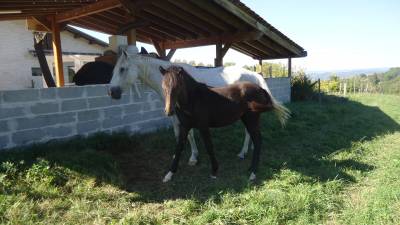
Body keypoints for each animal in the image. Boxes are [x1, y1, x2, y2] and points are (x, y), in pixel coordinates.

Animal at [108, 45, 290, 165]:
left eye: (122, 69)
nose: (112, 92)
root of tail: (255, 75)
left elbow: (189, 135)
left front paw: (193, 157)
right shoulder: (175, 116)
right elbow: (178, 135)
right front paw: (179, 155)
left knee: (247, 131)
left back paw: (242, 153)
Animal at [159, 66, 288, 182]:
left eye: (178, 86)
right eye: (163, 86)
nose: (169, 111)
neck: (193, 99)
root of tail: (260, 89)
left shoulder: (203, 126)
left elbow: (209, 146)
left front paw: (214, 171)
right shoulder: (185, 127)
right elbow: (178, 148)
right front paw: (169, 174)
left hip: (252, 119)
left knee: (257, 141)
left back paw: (253, 173)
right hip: (247, 119)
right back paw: (249, 167)